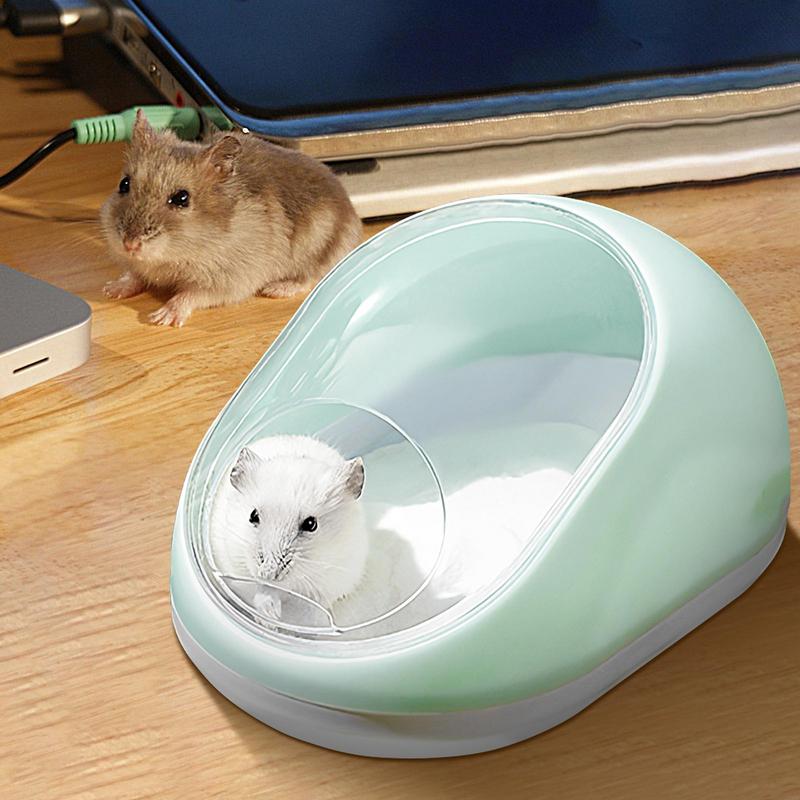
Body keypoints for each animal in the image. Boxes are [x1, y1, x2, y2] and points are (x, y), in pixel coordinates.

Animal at [100, 110, 362, 327]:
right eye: (124, 184)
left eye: (182, 198)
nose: (129, 244)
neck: (174, 255)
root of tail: (352, 213)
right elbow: (133, 275)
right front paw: (110, 290)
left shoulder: (228, 281)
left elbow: (190, 295)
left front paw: (161, 318)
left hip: (319, 248)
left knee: (311, 277)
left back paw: (275, 289)